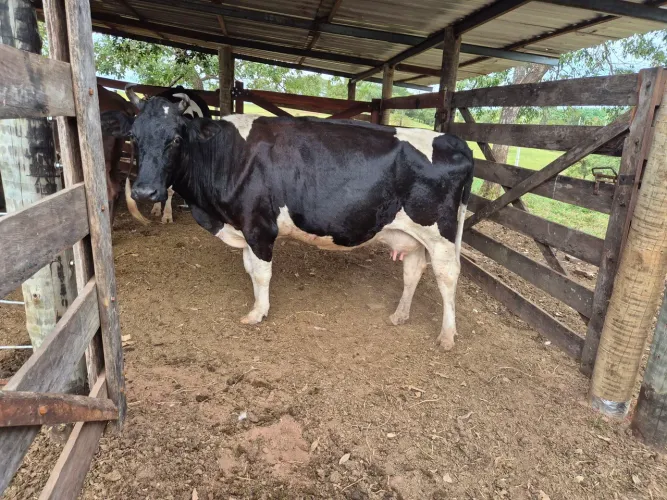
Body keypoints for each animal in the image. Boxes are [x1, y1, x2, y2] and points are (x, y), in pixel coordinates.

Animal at [103, 87, 474, 350]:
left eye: (176, 138)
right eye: (133, 137)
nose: (145, 191)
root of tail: (453, 140)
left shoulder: (259, 226)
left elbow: (261, 273)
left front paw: (257, 313)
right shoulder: (243, 227)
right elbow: (250, 269)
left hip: (440, 234)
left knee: (447, 276)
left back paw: (447, 335)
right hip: (413, 235)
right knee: (414, 271)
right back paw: (400, 315)